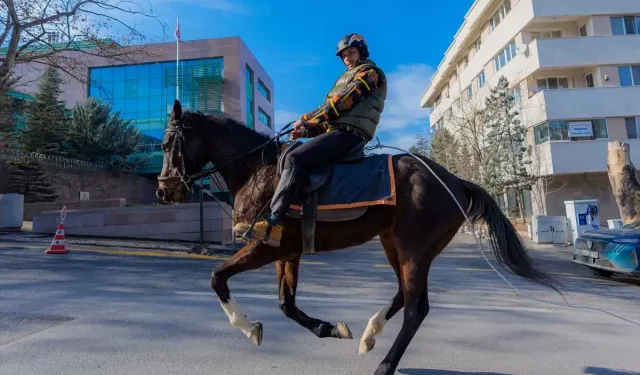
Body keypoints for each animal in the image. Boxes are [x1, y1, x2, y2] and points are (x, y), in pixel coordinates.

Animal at [154, 100, 556, 375]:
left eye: (167, 144)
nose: (163, 190)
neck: (259, 170)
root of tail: (455, 180)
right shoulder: (287, 252)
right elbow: (286, 304)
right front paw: (329, 328)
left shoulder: (262, 246)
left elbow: (217, 277)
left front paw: (248, 326)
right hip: (396, 246)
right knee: (403, 297)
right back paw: (369, 334)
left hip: (413, 250)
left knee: (416, 309)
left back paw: (384, 365)